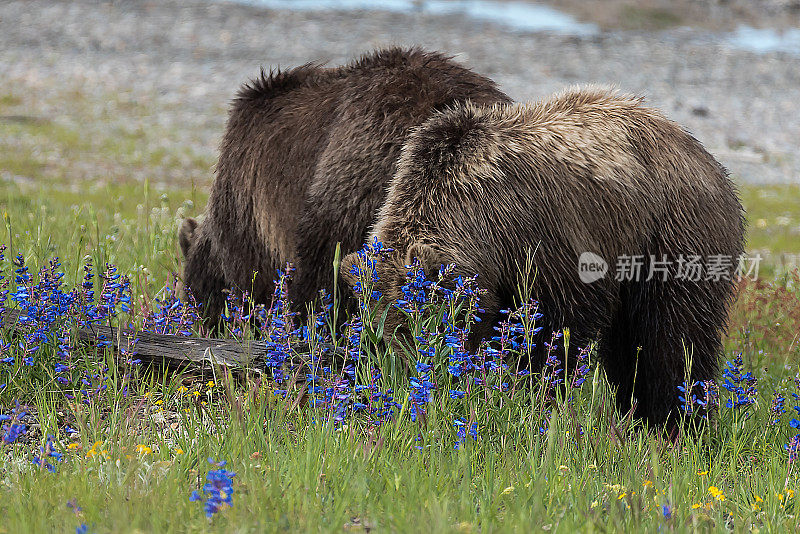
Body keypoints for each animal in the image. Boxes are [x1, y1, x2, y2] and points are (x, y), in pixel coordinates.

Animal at [342, 89, 744, 432]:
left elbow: (557, 327)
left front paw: (532, 392)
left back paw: (678, 421)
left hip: (671, 233)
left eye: (419, 328)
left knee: (674, 337)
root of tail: (709, 159)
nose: (419, 385)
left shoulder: (546, 237)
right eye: (382, 336)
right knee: (630, 345)